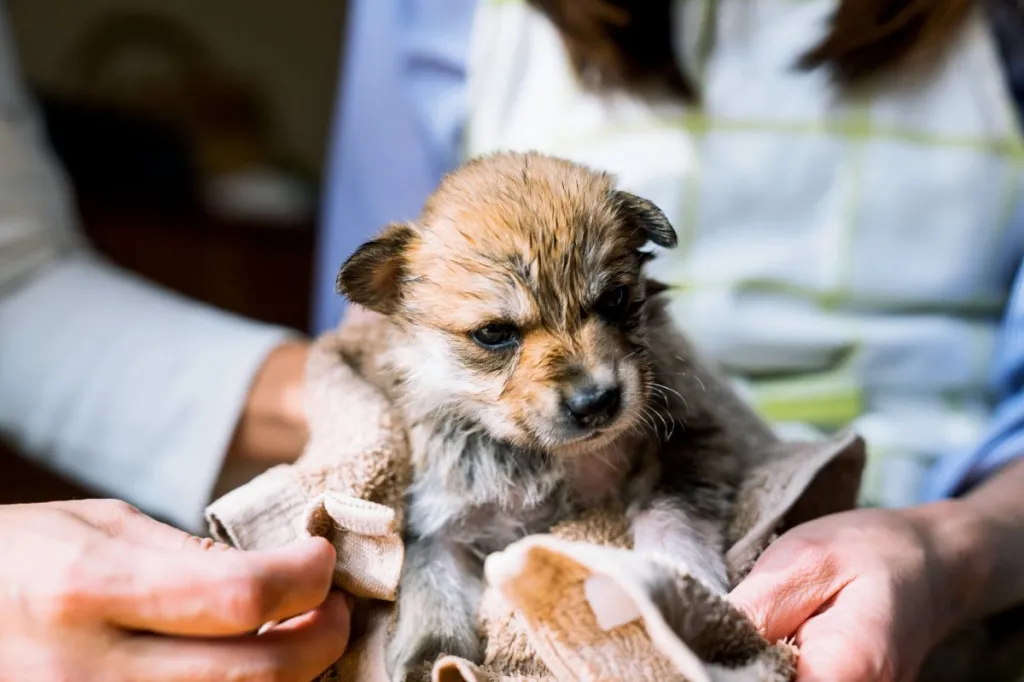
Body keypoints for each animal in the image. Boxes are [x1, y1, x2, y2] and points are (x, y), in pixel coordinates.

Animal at [339, 151, 741, 675]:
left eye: (614, 299)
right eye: (493, 333)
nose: (596, 402)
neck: (544, 458)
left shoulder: (691, 440)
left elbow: (670, 508)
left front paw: (682, 577)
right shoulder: (440, 526)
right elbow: (432, 587)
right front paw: (434, 658)